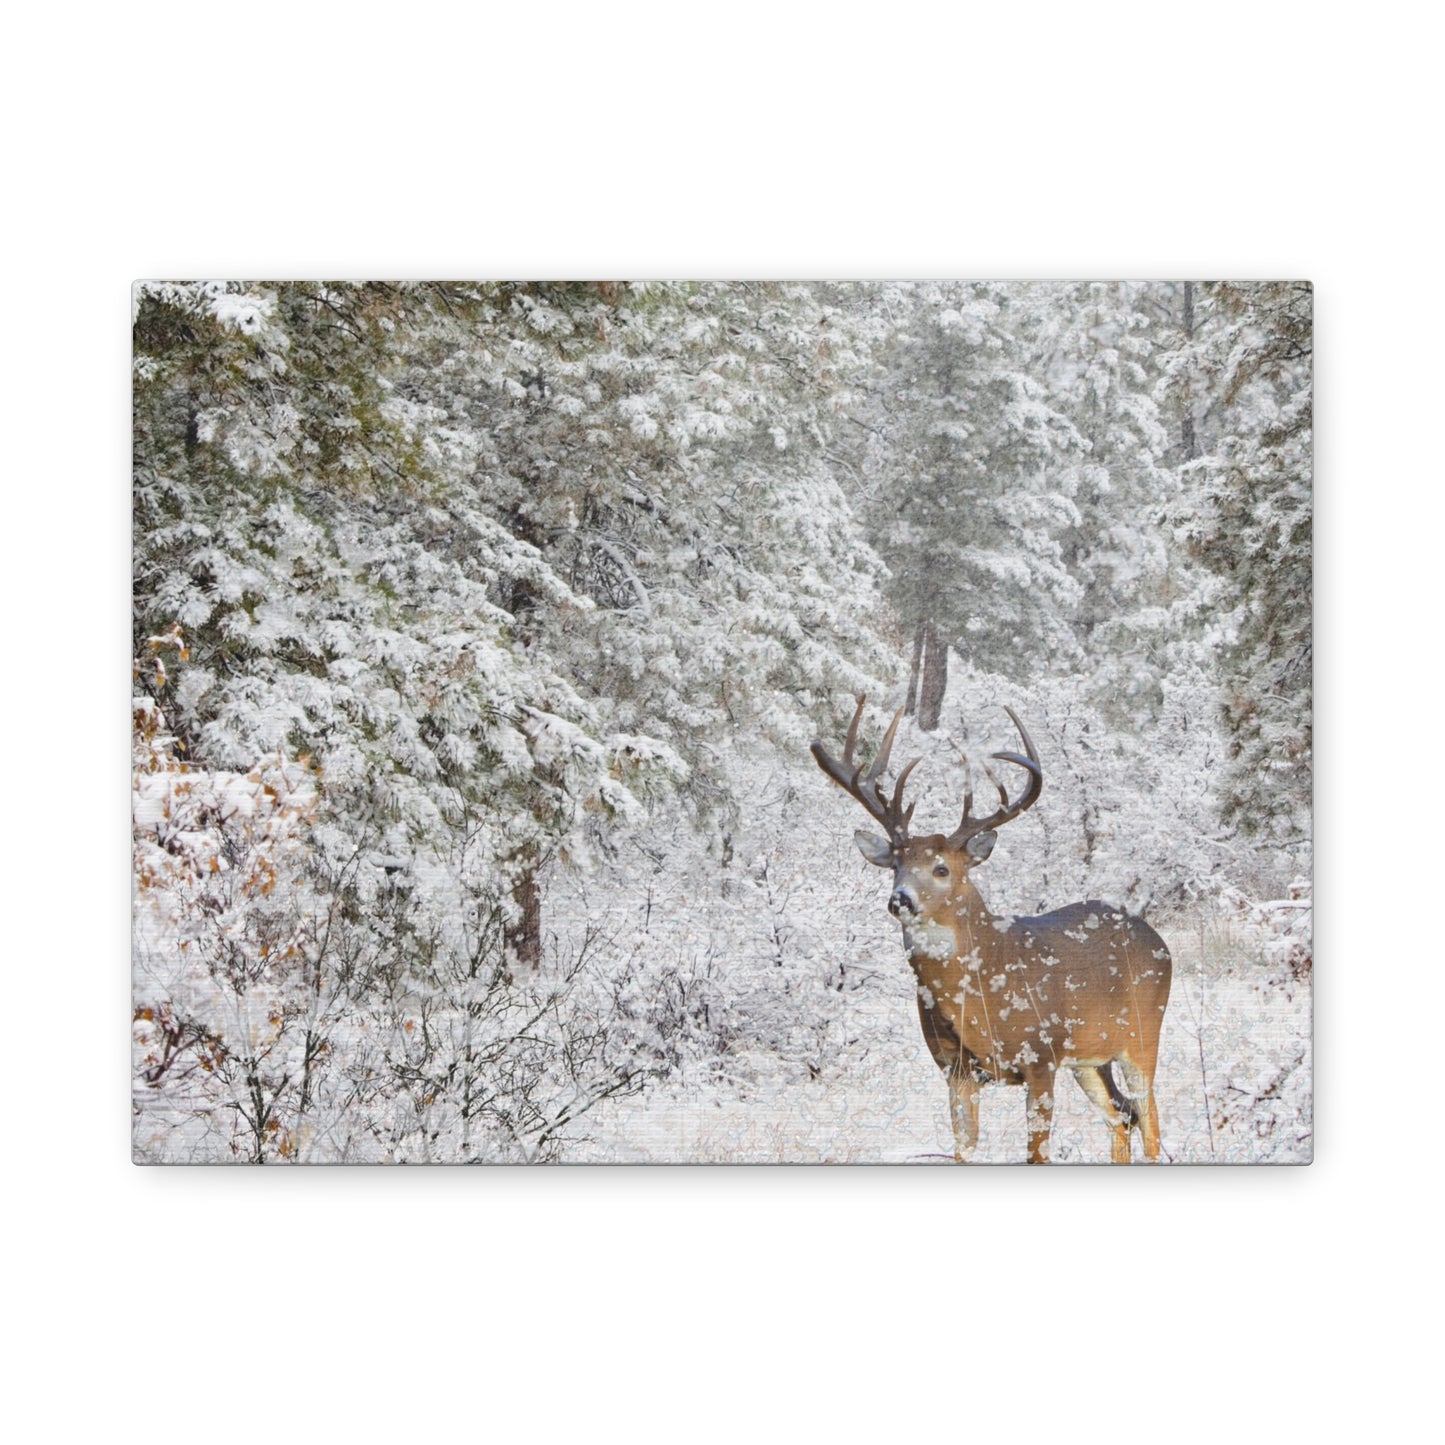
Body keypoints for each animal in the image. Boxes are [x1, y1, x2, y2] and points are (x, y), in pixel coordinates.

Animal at [812, 695, 1172, 1164]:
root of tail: (1158, 940)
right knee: (1121, 1117)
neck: (985, 990)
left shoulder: (1041, 1057)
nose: (900, 899)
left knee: (1150, 1119)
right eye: (895, 865)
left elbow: (1037, 1154)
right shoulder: (956, 1069)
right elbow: (963, 1151)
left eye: (942, 869)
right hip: (1091, 1059)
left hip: (1143, 1034)